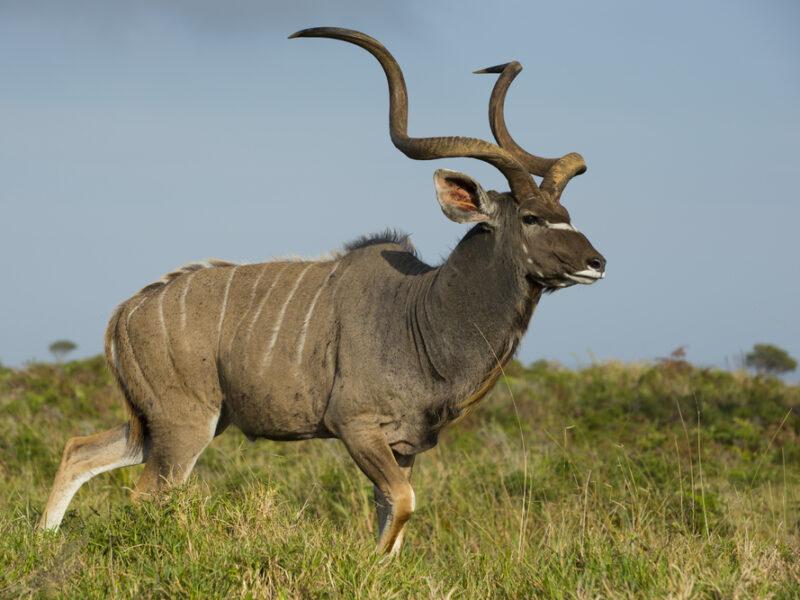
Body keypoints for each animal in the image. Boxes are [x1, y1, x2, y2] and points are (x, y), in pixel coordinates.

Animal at [38, 28, 605, 555]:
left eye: (566, 214)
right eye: (531, 218)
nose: (596, 263)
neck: (420, 312)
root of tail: (125, 312)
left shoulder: (403, 446)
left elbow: (391, 513)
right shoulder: (356, 426)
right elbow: (402, 504)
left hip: (171, 423)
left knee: (79, 449)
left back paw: (42, 540)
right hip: (184, 426)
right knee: (146, 495)